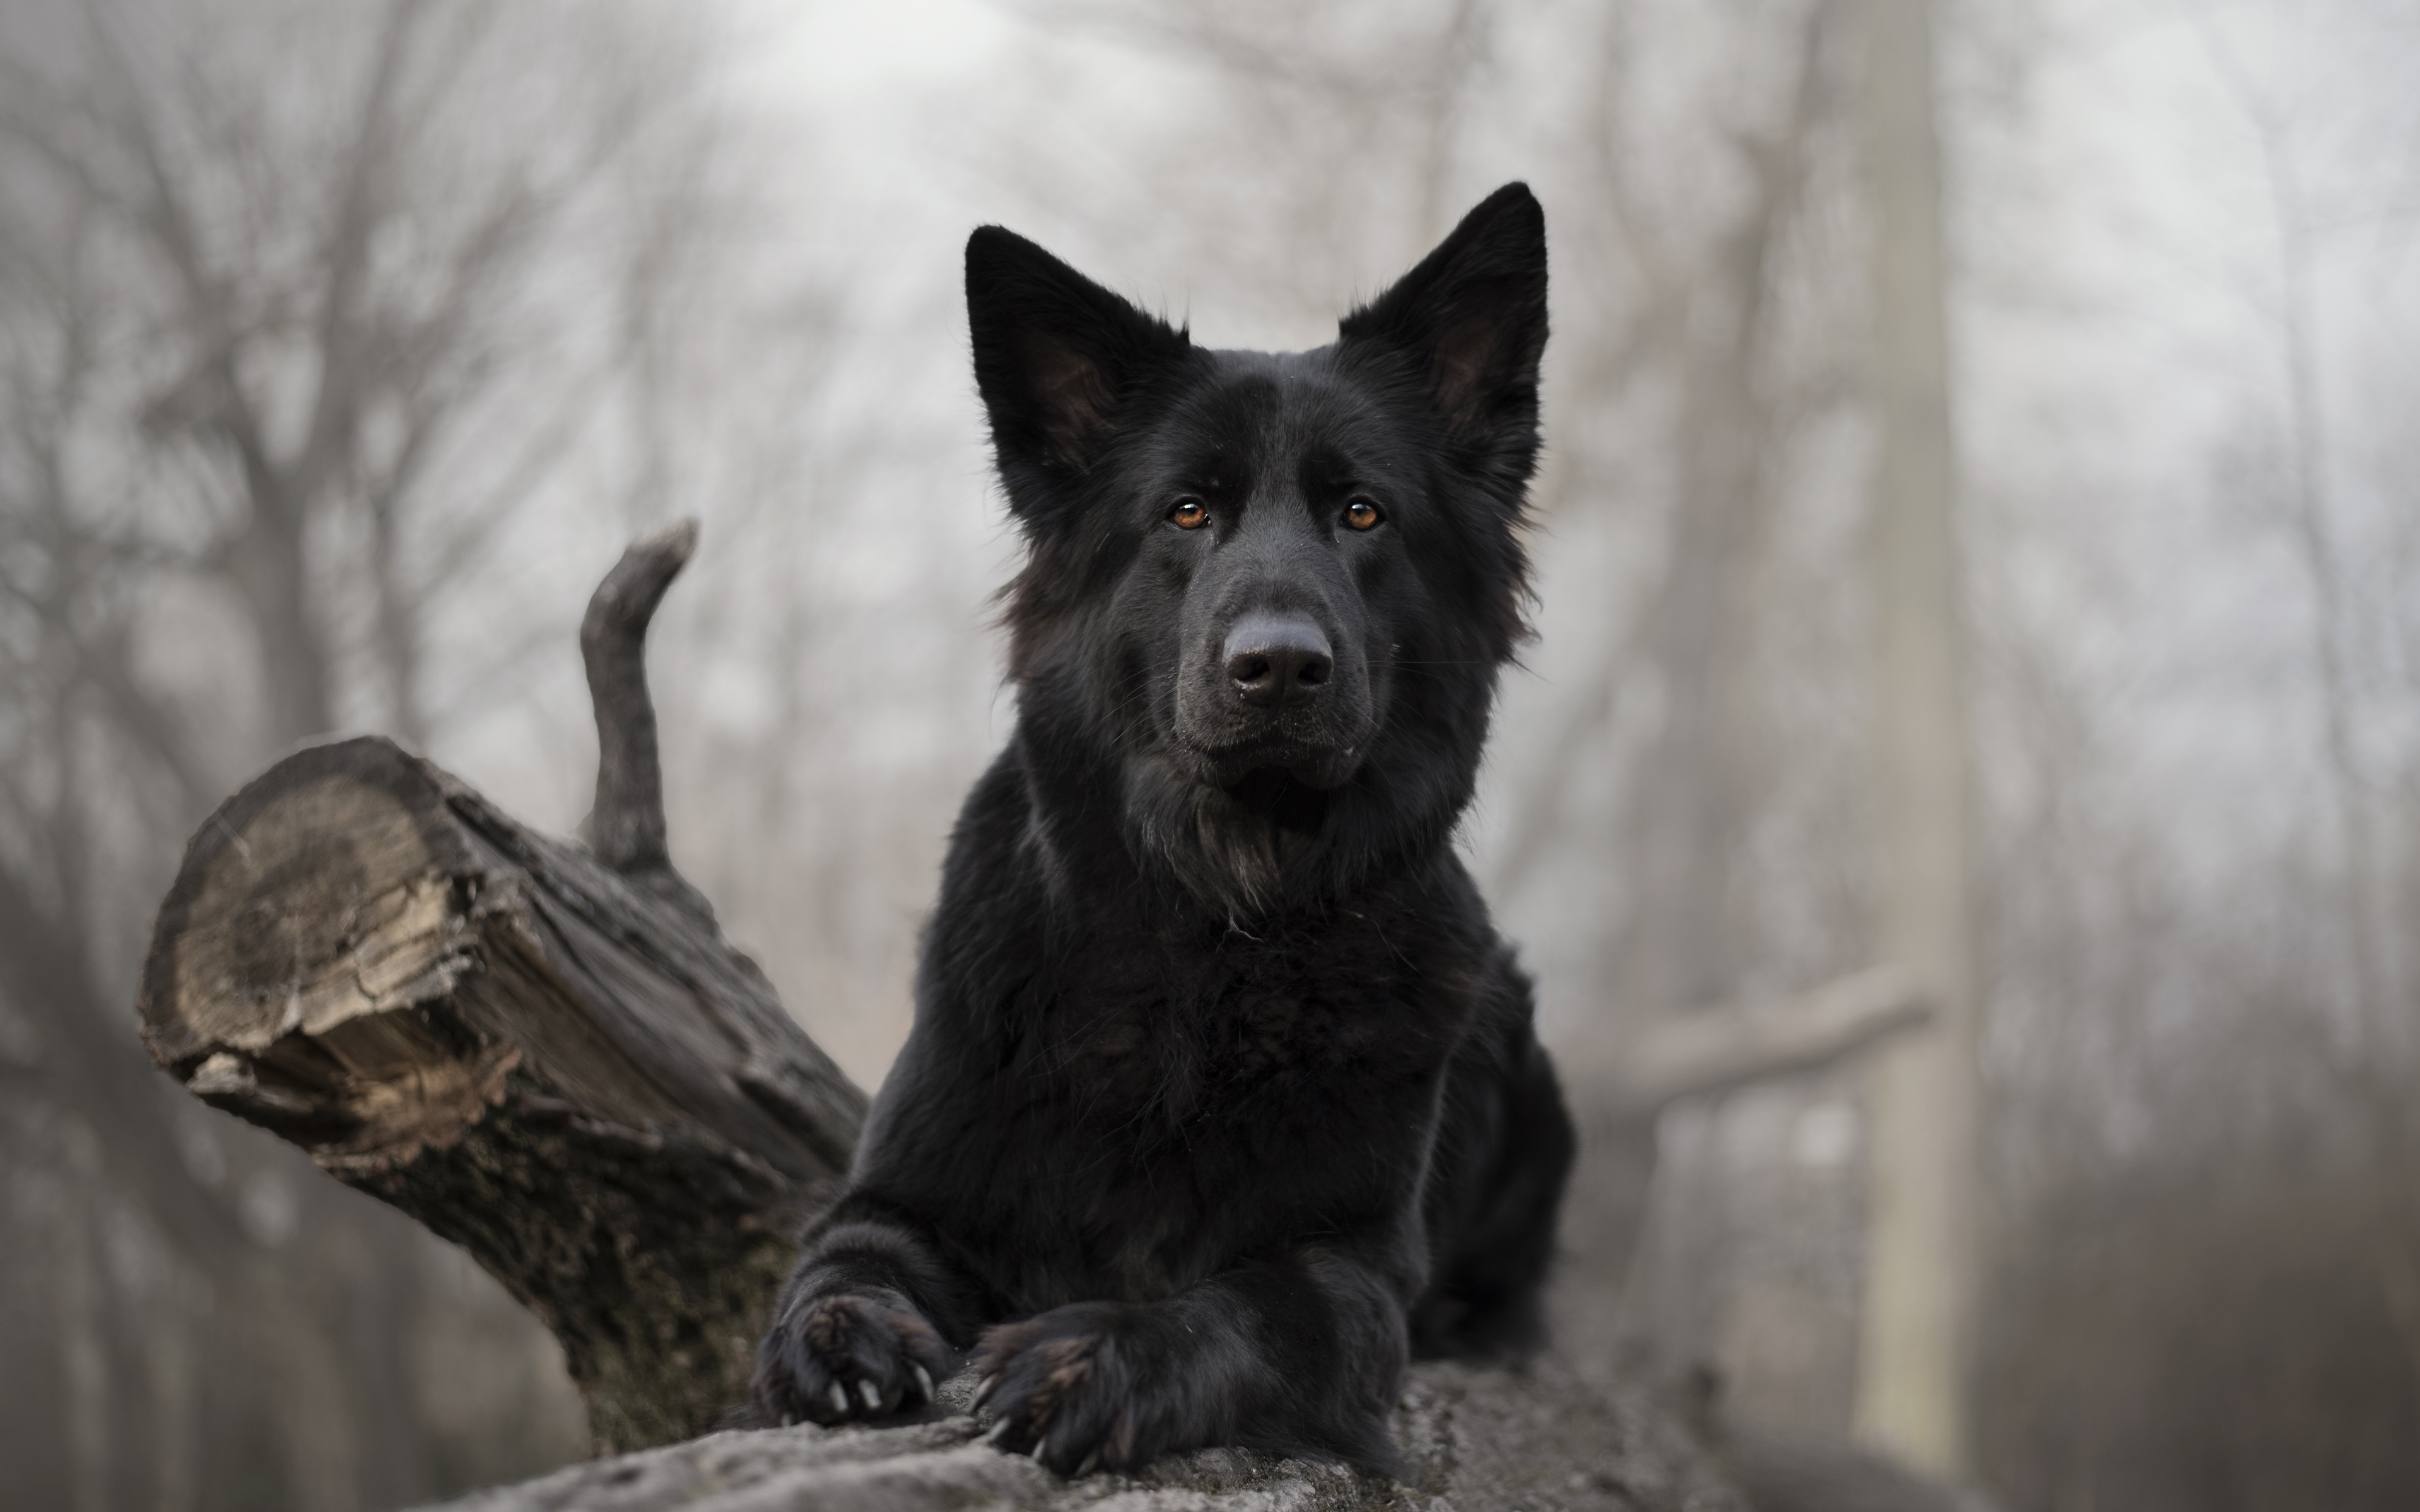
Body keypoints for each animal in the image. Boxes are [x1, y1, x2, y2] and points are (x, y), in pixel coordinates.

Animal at [764, 180, 1577, 1470]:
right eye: (1187, 512)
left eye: (1363, 513)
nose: (1279, 666)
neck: (1216, 919)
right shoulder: (901, 1200)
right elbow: (840, 1262)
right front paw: (842, 1339)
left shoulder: (1350, 1275)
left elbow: (1249, 1307)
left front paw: (1096, 1354)